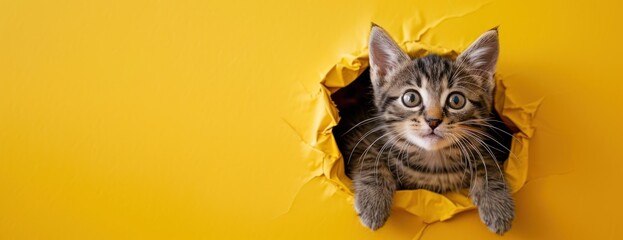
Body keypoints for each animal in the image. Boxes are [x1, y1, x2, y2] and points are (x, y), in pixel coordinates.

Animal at [336, 25, 516, 235]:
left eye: (456, 100)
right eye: (411, 98)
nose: (433, 121)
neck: (432, 162)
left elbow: (488, 162)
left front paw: (497, 204)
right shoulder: (358, 135)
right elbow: (370, 158)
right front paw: (373, 202)